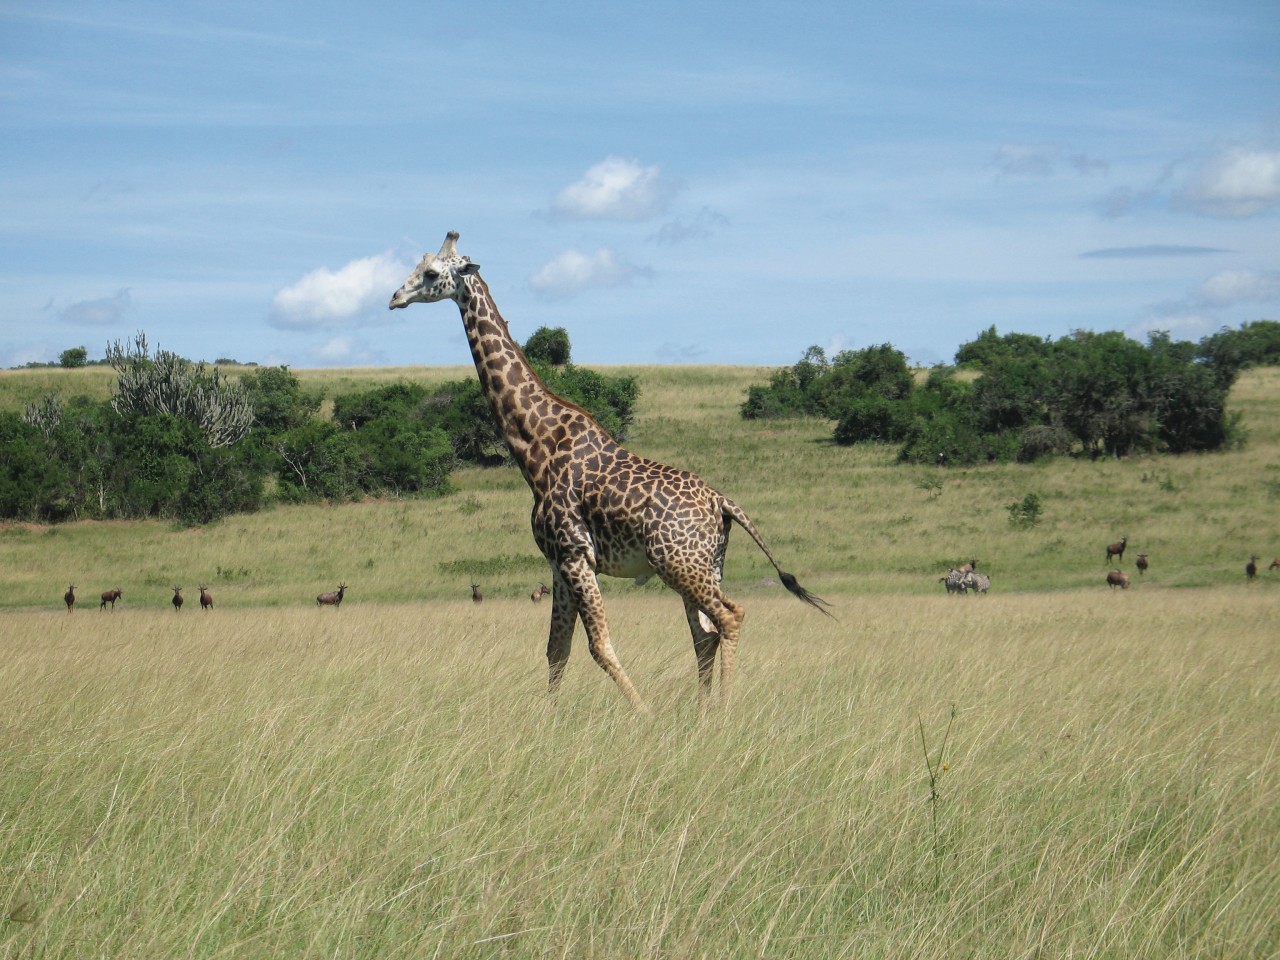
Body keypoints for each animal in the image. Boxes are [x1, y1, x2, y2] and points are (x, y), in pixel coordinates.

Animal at [389, 231, 829, 716]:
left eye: (431, 273)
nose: (394, 298)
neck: (536, 447)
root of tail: (722, 502)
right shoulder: (559, 562)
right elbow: (556, 648)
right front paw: (550, 720)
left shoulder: (576, 554)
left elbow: (598, 646)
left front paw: (644, 715)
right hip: (706, 563)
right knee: (704, 634)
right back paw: (701, 715)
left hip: (679, 564)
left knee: (730, 617)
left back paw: (723, 712)